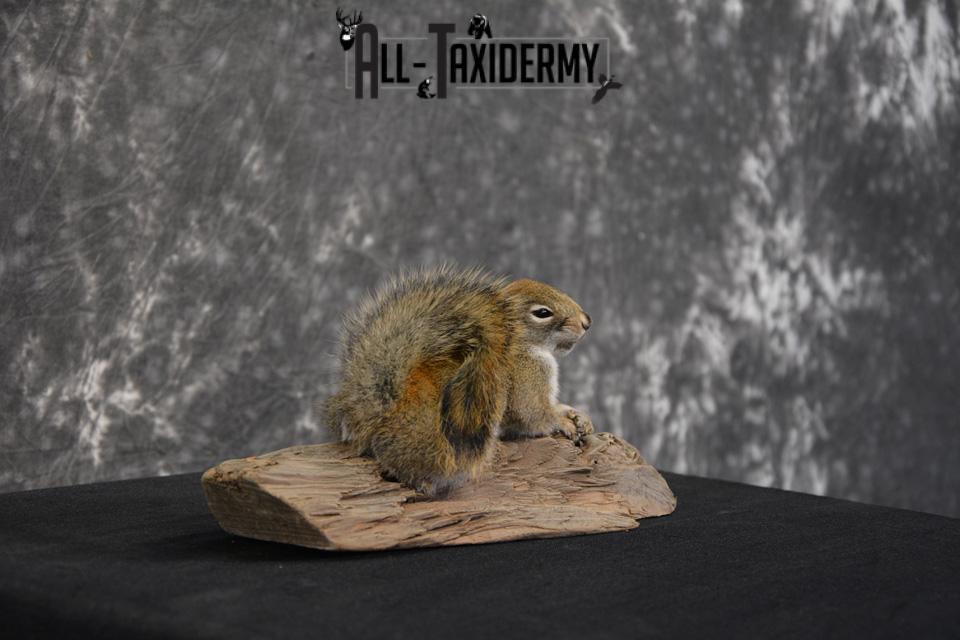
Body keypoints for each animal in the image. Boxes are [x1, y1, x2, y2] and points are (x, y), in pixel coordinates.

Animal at [321, 265, 594, 497]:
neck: (520, 342)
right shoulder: (525, 377)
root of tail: (380, 417)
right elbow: (531, 415)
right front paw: (563, 423)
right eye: (542, 313)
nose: (587, 322)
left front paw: (577, 416)